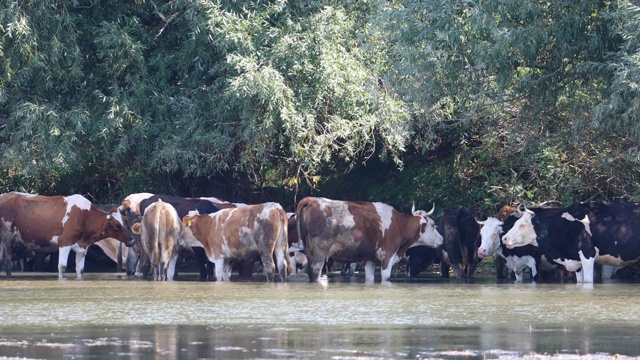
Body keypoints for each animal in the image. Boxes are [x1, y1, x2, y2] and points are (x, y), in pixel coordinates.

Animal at [0, 193, 134, 280]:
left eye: (126, 222)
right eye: (116, 226)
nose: (132, 240)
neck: (84, 216)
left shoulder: (82, 248)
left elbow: (80, 270)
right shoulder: (64, 242)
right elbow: (62, 267)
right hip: (7, 236)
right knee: (7, 261)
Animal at [296, 198, 442, 282]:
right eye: (433, 224)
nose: (441, 239)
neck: (399, 225)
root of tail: (313, 201)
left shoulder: (370, 260)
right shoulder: (388, 257)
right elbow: (386, 278)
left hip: (308, 251)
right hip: (320, 253)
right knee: (315, 273)